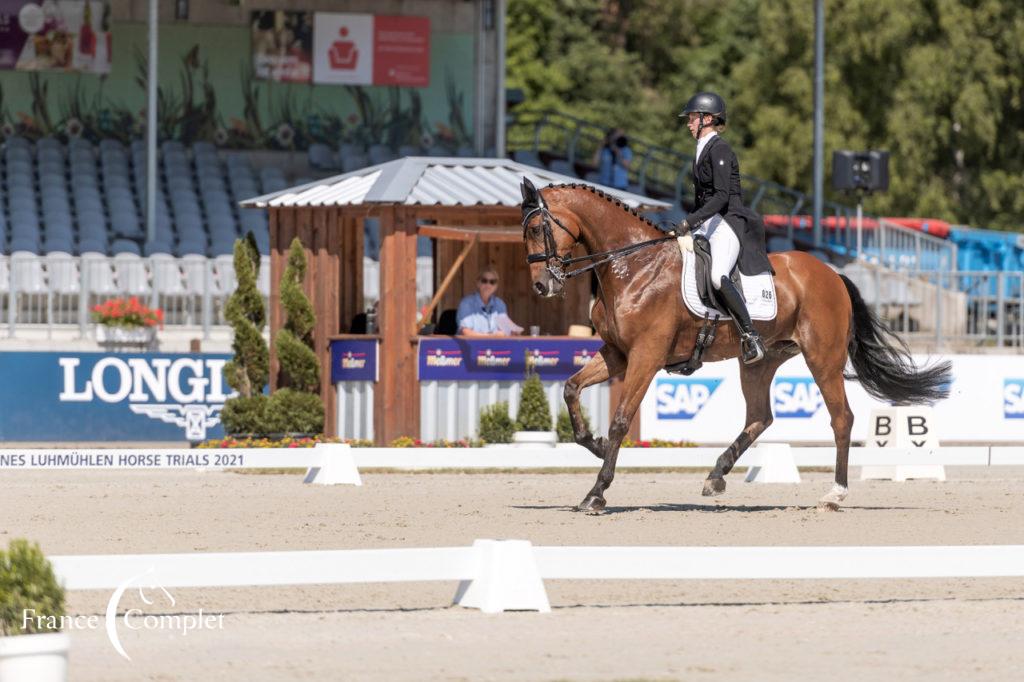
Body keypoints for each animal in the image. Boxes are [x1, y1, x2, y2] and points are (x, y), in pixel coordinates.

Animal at [520, 179, 950, 509]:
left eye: (536, 228)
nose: (542, 285)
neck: (632, 267)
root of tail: (833, 274)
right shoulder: (617, 354)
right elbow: (571, 389)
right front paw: (591, 444)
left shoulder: (646, 355)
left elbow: (621, 420)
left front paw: (596, 492)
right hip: (759, 362)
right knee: (760, 416)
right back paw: (716, 476)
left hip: (822, 359)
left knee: (841, 418)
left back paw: (834, 493)